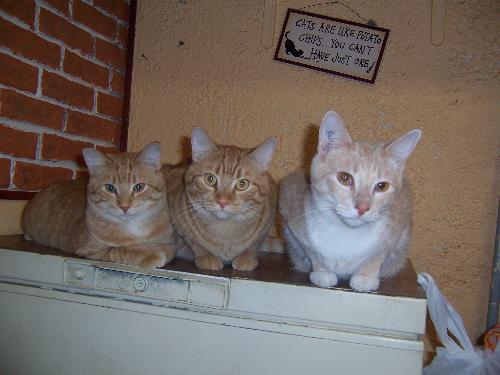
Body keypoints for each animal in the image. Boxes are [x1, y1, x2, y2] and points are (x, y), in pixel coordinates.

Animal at [22, 142, 175, 268]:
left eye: (139, 187)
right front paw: (150, 253)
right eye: (110, 188)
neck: (133, 227)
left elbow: (167, 248)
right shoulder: (89, 250)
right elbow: (120, 250)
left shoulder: (168, 243)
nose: (125, 207)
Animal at [165, 128, 280, 272]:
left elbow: (255, 244)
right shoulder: (176, 221)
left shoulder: (267, 221)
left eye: (242, 184)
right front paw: (206, 256)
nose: (222, 202)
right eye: (210, 179)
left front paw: (247, 257)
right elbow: (194, 242)